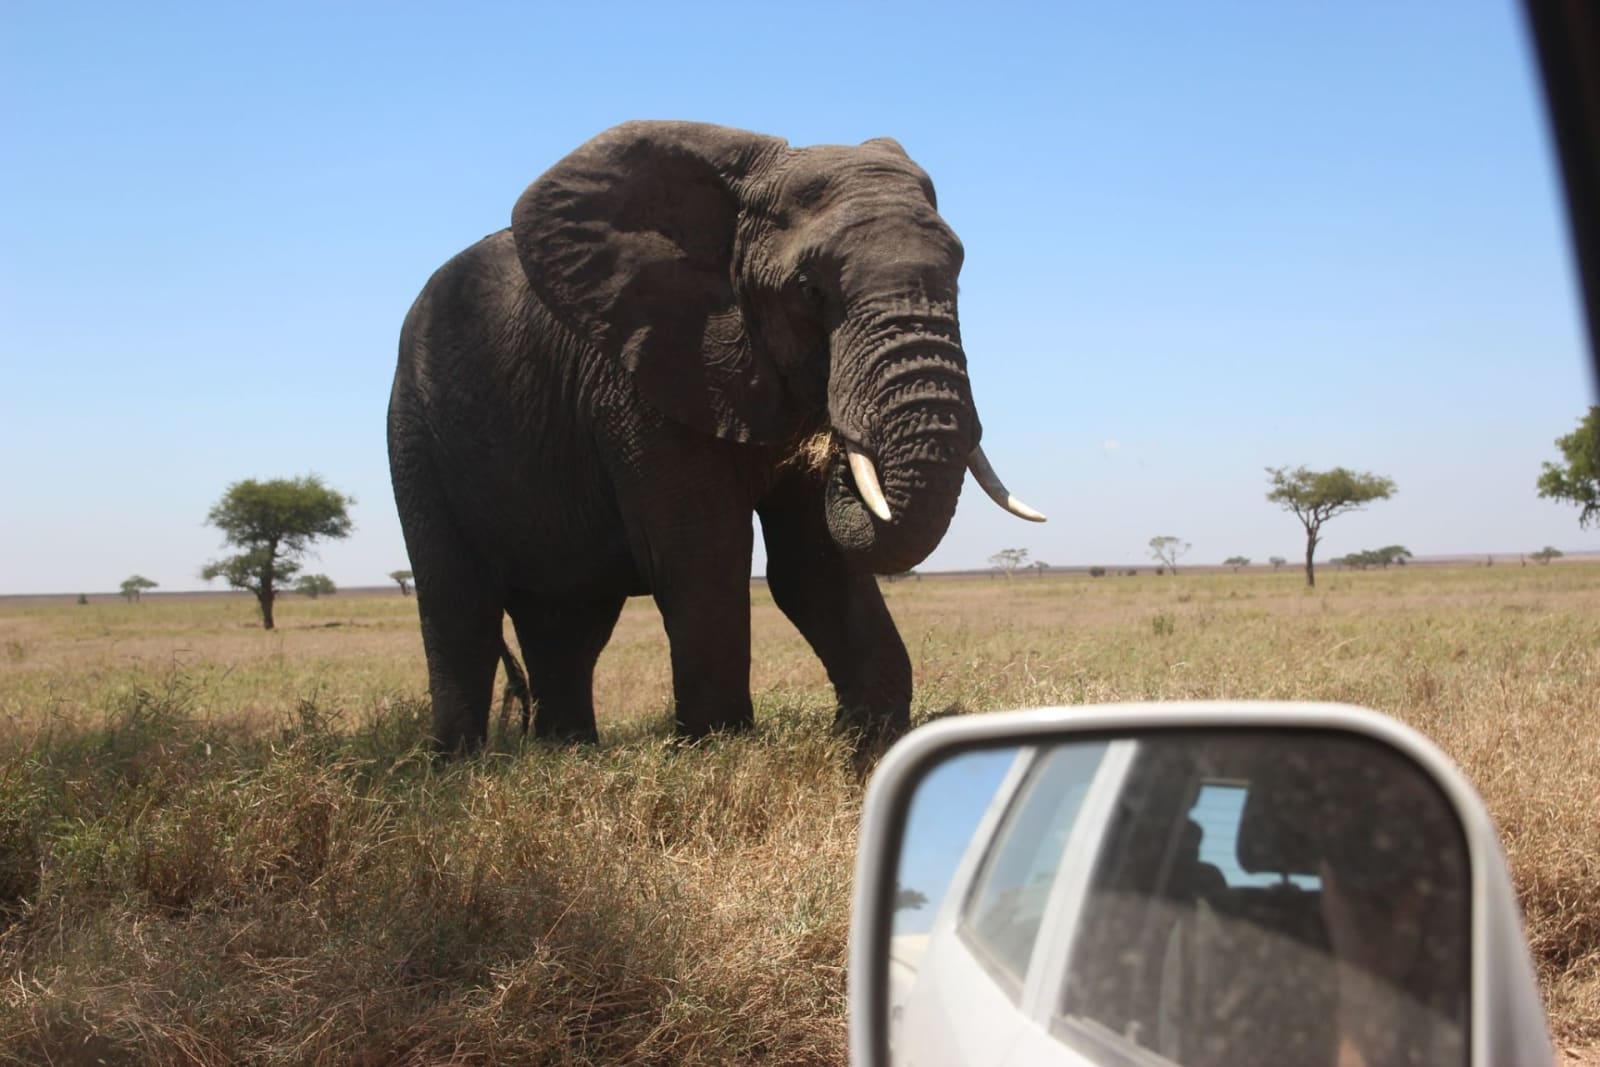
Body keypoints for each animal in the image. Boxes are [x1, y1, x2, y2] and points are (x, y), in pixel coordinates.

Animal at [388, 120, 1042, 752]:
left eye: (958, 277)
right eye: (809, 290)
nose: (840, 443)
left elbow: (814, 564)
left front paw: (873, 742)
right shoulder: (643, 372)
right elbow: (705, 553)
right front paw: (719, 750)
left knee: (568, 623)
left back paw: (564, 753)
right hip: (414, 432)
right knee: (458, 606)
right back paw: (461, 765)